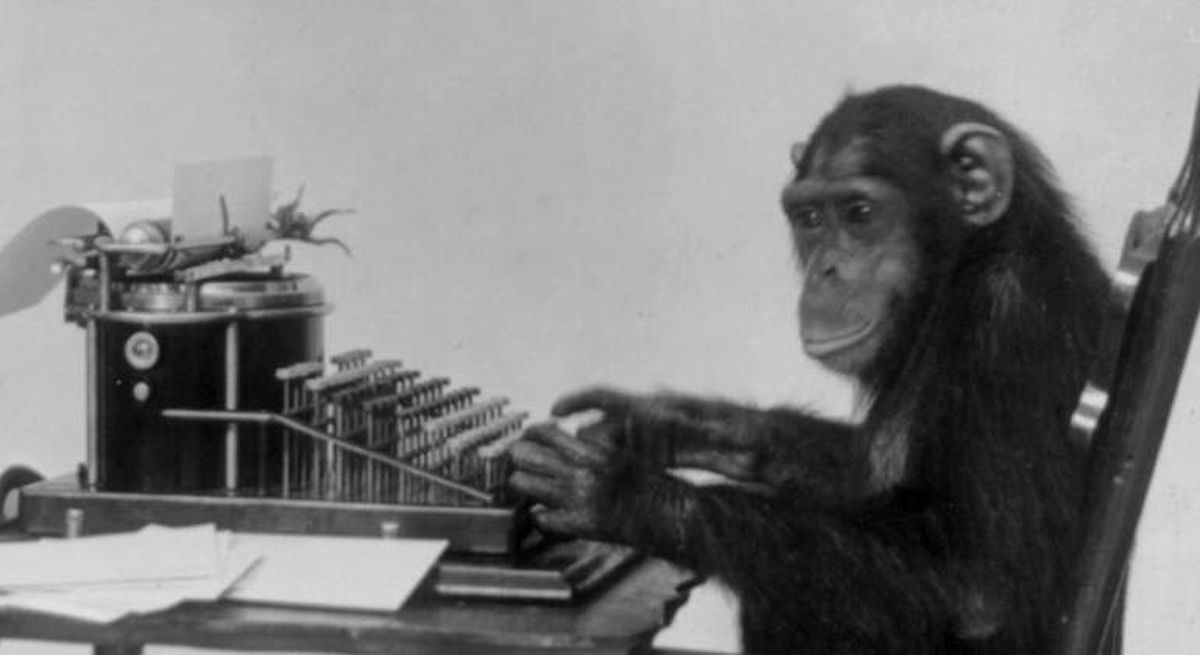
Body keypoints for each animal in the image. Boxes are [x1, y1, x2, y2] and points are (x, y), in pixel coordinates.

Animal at [508, 85, 1112, 654]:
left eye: (861, 214)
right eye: (811, 218)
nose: (827, 271)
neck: (966, 266)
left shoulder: (1010, 330)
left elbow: (981, 588)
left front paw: (621, 494)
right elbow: (862, 472)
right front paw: (663, 421)